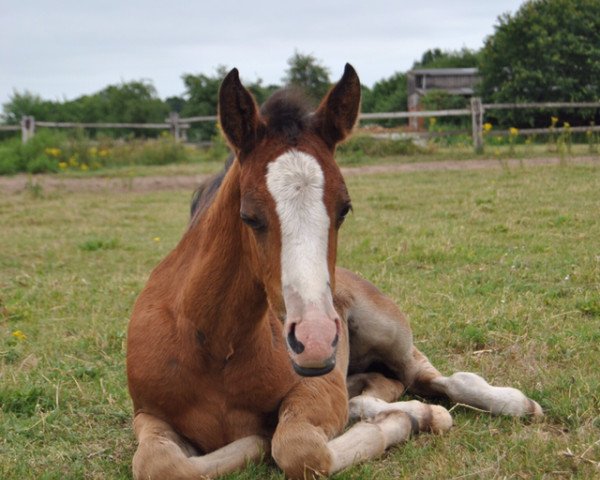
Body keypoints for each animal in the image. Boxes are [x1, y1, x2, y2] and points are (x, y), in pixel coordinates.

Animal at [124, 64, 540, 480]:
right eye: (249, 215)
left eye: (344, 209)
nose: (316, 340)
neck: (212, 347)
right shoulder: (148, 414)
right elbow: (161, 464)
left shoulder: (314, 389)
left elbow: (297, 448)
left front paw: (406, 420)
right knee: (381, 384)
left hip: (388, 332)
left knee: (431, 377)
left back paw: (508, 403)